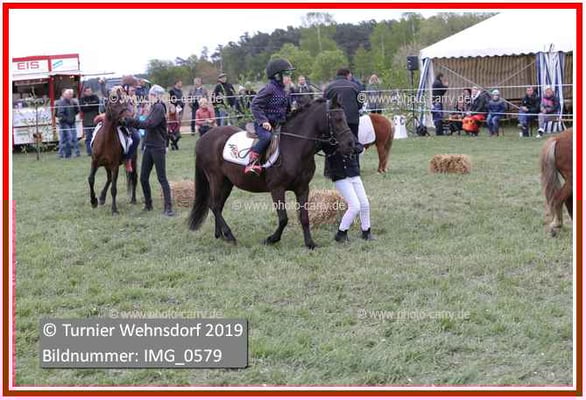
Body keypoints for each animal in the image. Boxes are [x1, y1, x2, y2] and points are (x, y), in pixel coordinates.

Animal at [188, 98, 355, 249]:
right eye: (338, 119)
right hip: (216, 178)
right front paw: (271, 239)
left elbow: (304, 217)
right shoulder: (277, 188)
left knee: (218, 205)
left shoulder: (303, 188)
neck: (294, 147)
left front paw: (310, 243)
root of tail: (203, 138)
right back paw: (229, 236)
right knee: (214, 205)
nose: (351, 144)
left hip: (227, 182)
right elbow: (283, 219)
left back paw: (221, 235)